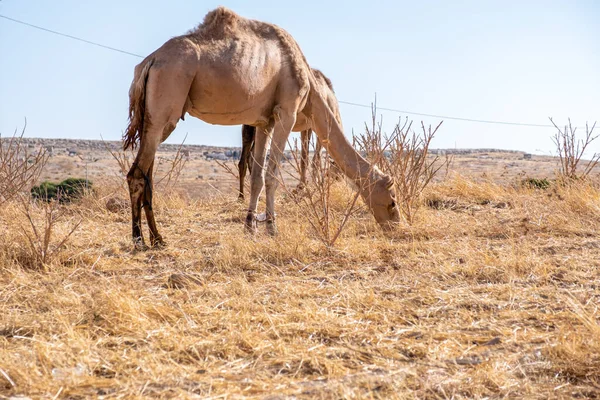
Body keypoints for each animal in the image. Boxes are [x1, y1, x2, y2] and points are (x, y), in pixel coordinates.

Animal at [239, 69, 342, 200]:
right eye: (336, 174)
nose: (338, 182)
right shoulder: (316, 125)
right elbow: (313, 157)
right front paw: (308, 186)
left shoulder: (307, 127)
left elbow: (306, 156)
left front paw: (304, 186)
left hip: (252, 121)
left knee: (247, 156)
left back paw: (242, 196)